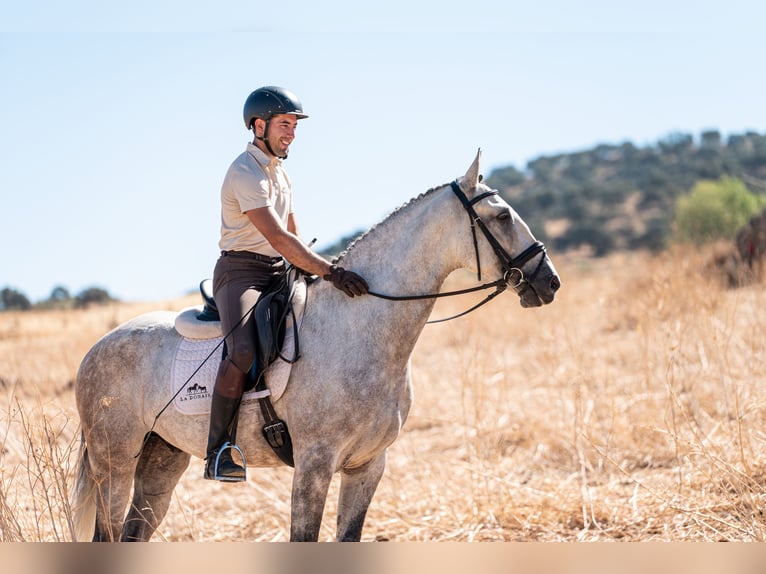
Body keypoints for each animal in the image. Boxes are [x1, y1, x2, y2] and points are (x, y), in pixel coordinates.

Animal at [72, 151, 564, 544]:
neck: (361, 327)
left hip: (161, 459)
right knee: (108, 533)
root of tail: (97, 347)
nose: (549, 282)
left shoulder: (368, 465)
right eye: (502, 217)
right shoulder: (314, 466)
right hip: (114, 461)